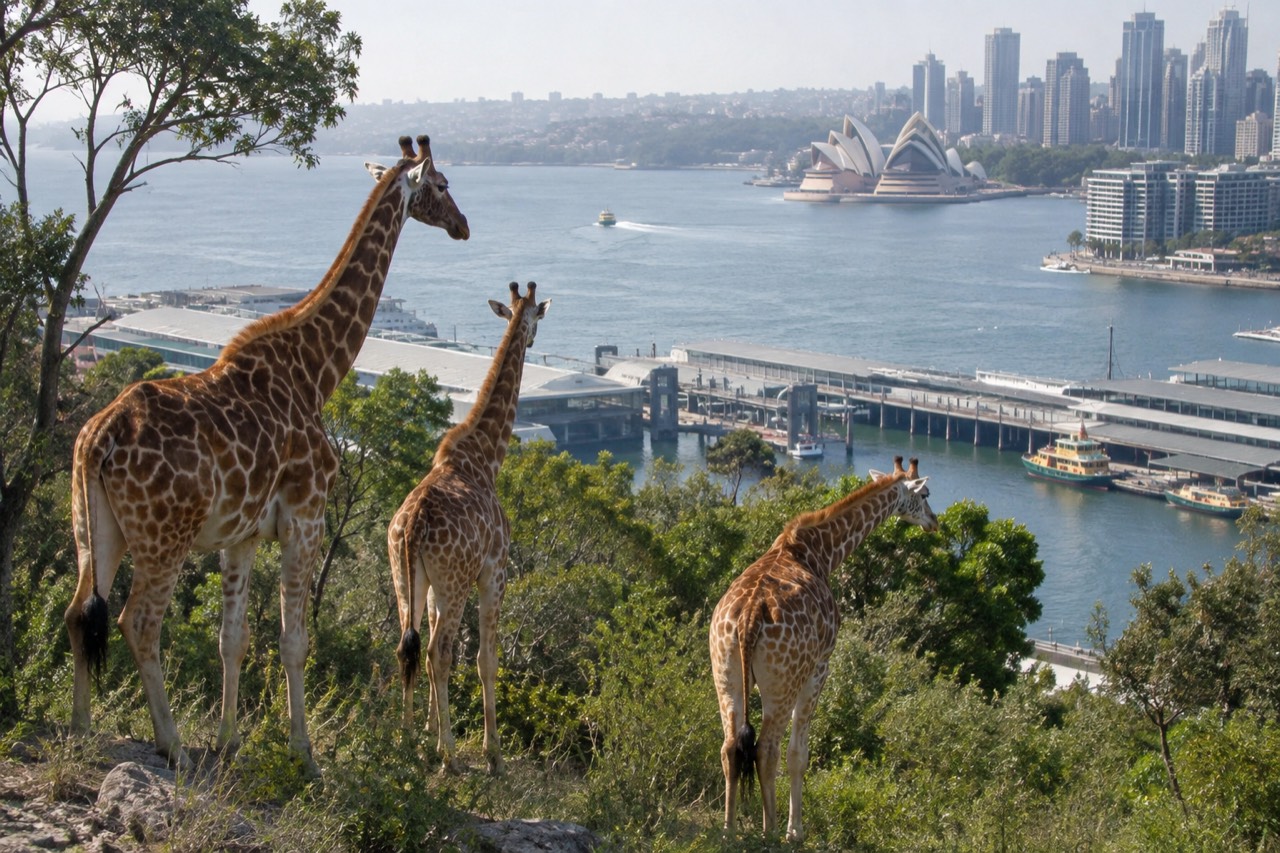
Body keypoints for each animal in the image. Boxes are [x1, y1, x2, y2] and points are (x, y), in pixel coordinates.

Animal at [64, 135, 469, 775]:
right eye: (443, 184)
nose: (463, 226)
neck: (315, 370)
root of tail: (98, 439)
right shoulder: (306, 518)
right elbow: (294, 641)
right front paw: (303, 752)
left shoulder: (243, 535)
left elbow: (233, 640)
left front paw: (230, 741)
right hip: (164, 537)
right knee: (138, 622)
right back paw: (171, 744)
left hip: (96, 526)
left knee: (81, 612)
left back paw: (81, 730)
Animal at [389, 281, 549, 776]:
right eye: (535, 318)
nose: (532, 340)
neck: (485, 456)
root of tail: (412, 525)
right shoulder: (494, 572)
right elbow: (485, 660)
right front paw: (491, 754)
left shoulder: (439, 585)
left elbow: (438, 650)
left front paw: (426, 732)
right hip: (456, 581)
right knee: (438, 651)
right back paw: (453, 758)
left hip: (406, 577)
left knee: (408, 646)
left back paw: (405, 740)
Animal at [709, 456, 938, 841]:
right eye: (925, 494)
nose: (934, 523)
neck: (822, 552)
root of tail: (749, 619)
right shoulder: (820, 667)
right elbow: (798, 755)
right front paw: (795, 831)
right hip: (783, 684)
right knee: (766, 749)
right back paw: (771, 833)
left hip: (724, 675)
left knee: (730, 748)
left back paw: (728, 830)